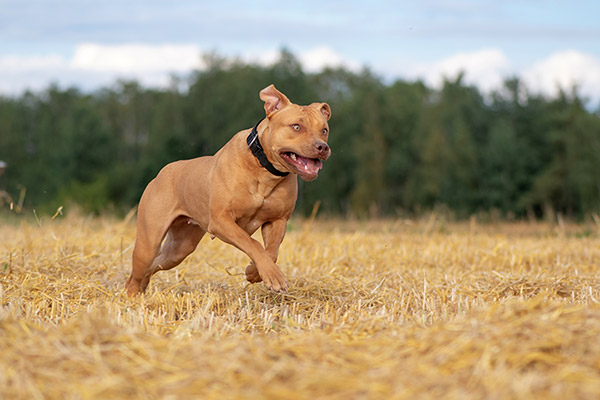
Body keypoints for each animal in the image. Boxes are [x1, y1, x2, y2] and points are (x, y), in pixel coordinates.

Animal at [127, 84, 332, 296]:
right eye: (296, 127)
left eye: (324, 130)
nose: (322, 147)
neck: (264, 169)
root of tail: (161, 174)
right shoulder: (222, 221)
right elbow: (252, 243)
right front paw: (269, 274)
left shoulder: (278, 221)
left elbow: (271, 252)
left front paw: (256, 272)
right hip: (148, 242)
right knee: (138, 271)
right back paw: (133, 296)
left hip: (180, 247)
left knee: (153, 265)